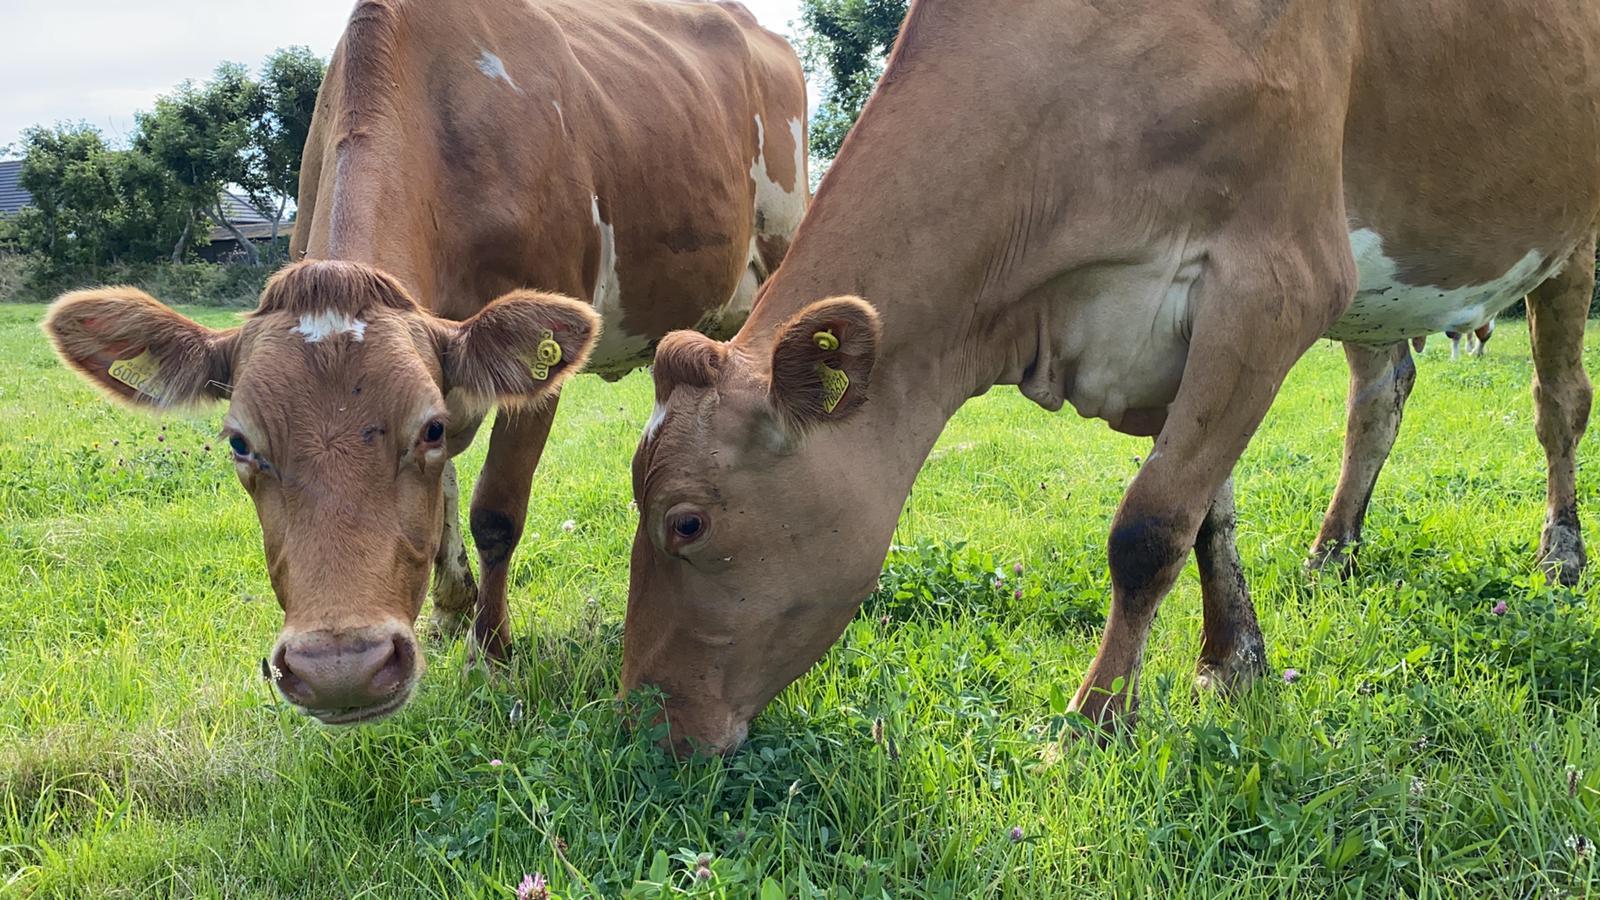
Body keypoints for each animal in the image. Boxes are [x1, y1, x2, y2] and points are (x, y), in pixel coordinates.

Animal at [43, 0, 806, 720]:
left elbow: (496, 511)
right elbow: (442, 500)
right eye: (239, 443)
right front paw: (449, 608)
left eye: (427, 429)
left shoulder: (532, 369)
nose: (340, 670)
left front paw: (489, 653)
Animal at [624, 0, 1600, 749]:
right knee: (1382, 390)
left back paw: (1560, 556)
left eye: (686, 522)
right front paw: (1233, 661)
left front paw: (1093, 722)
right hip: (1379, 296)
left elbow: (1151, 526)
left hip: (1568, 240)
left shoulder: (1277, 281)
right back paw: (1334, 549)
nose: (639, 717)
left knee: (1559, 404)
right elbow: (1209, 515)